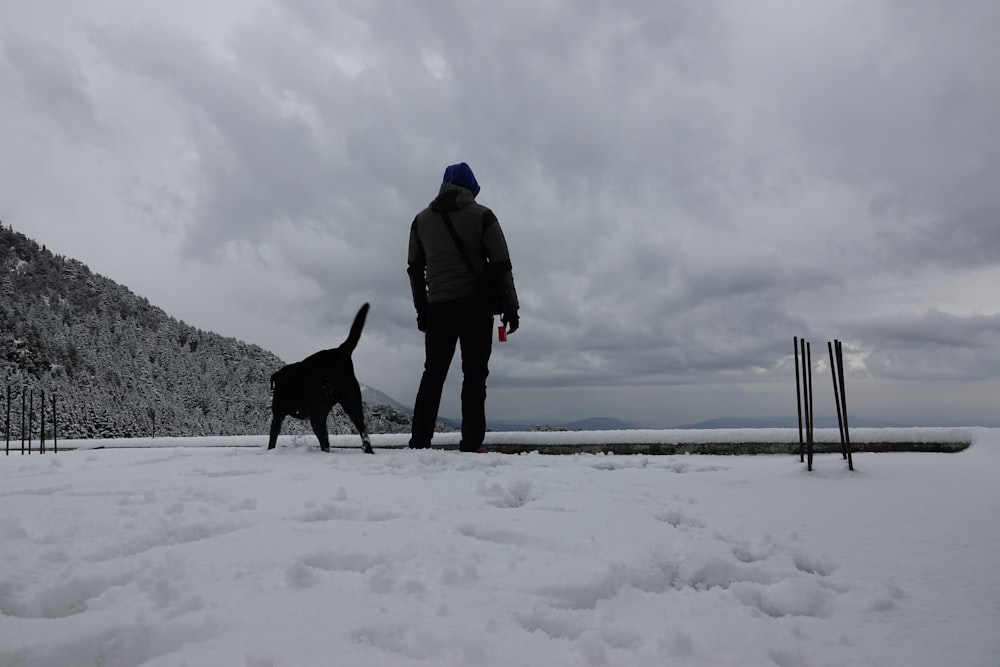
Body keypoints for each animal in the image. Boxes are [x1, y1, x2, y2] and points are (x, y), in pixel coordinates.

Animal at [268, 304, 374, 454]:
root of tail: (339, 353)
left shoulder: (278, 414)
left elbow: (272, 438)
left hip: (317, 413)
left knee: (325, 443)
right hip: (353, 404)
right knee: (364, 433)